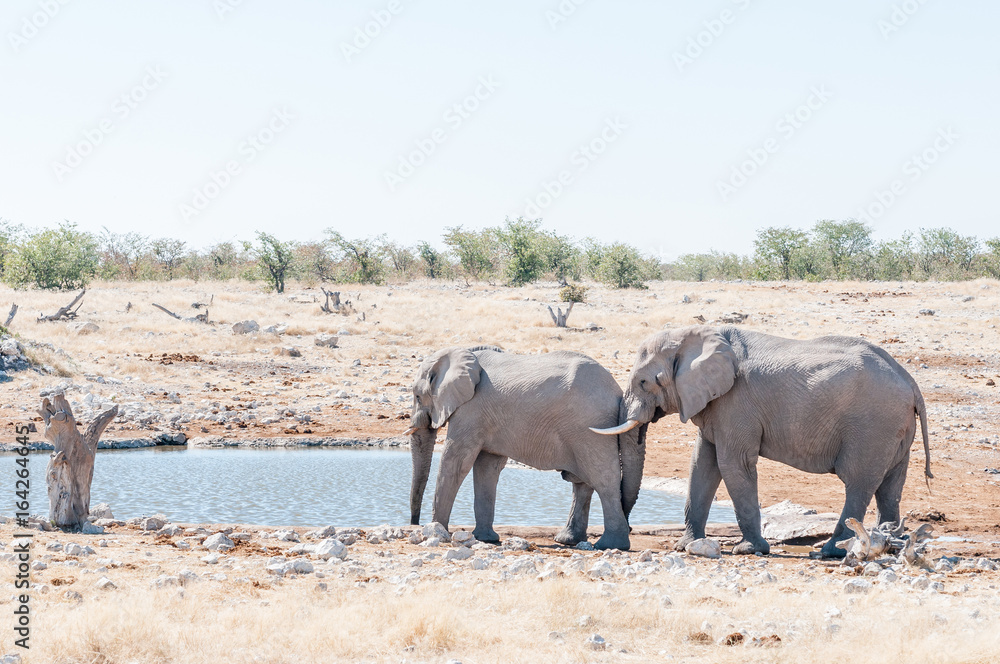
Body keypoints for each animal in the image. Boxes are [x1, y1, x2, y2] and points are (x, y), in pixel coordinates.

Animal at [407, 346, 647, 550]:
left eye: (417, 396)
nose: (414, 523)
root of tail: (617, 391)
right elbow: (487, 468)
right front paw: (486, 538)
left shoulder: (470, 410)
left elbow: (457, 462)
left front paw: (436, 533)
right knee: (583, 483)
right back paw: (568, 540)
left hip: (590, 426)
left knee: (603, 479)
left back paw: (610, 545)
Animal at [592, 325, 931, 557]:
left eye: (644, 382)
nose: (629, 530)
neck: (696, 336)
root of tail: (911, 381)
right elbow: (702, 464)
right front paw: (686, 546)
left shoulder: (736, 403)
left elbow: (733, 464)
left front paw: (748, 549)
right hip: (894, 429)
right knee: (889, 488)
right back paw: (890, 544)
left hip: (873, 425)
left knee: (858, 483)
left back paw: (830, 551)